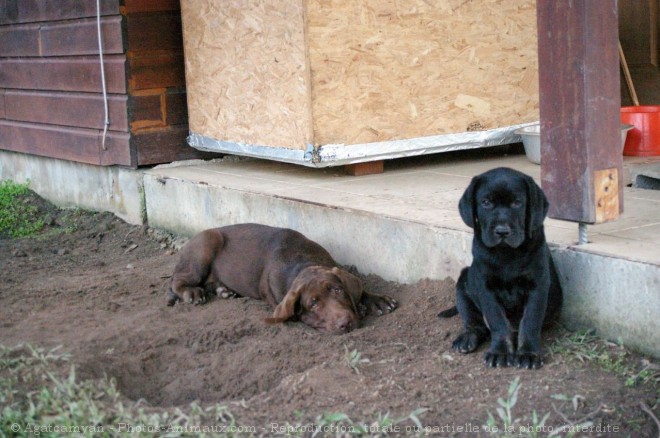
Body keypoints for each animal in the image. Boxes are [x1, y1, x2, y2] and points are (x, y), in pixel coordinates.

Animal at [168, 224, 400, 334]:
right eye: (313, 304)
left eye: (337, 290)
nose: (346, 323)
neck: (302, 263)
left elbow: (359, 289)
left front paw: (376, 301)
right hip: (206, 244)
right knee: (177, 280)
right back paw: (192, 293)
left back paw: (223, 290)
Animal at [438, 168, 564, 370]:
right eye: (486, 203)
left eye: (517, 203)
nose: (502, 231)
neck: (507, 254)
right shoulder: (485, 287)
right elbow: (497, 321)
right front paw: (500, 352)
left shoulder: (537, 285)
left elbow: (530, 321)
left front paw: (528, 353)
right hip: (463, 282)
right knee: (476, 324)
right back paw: (467, 339)